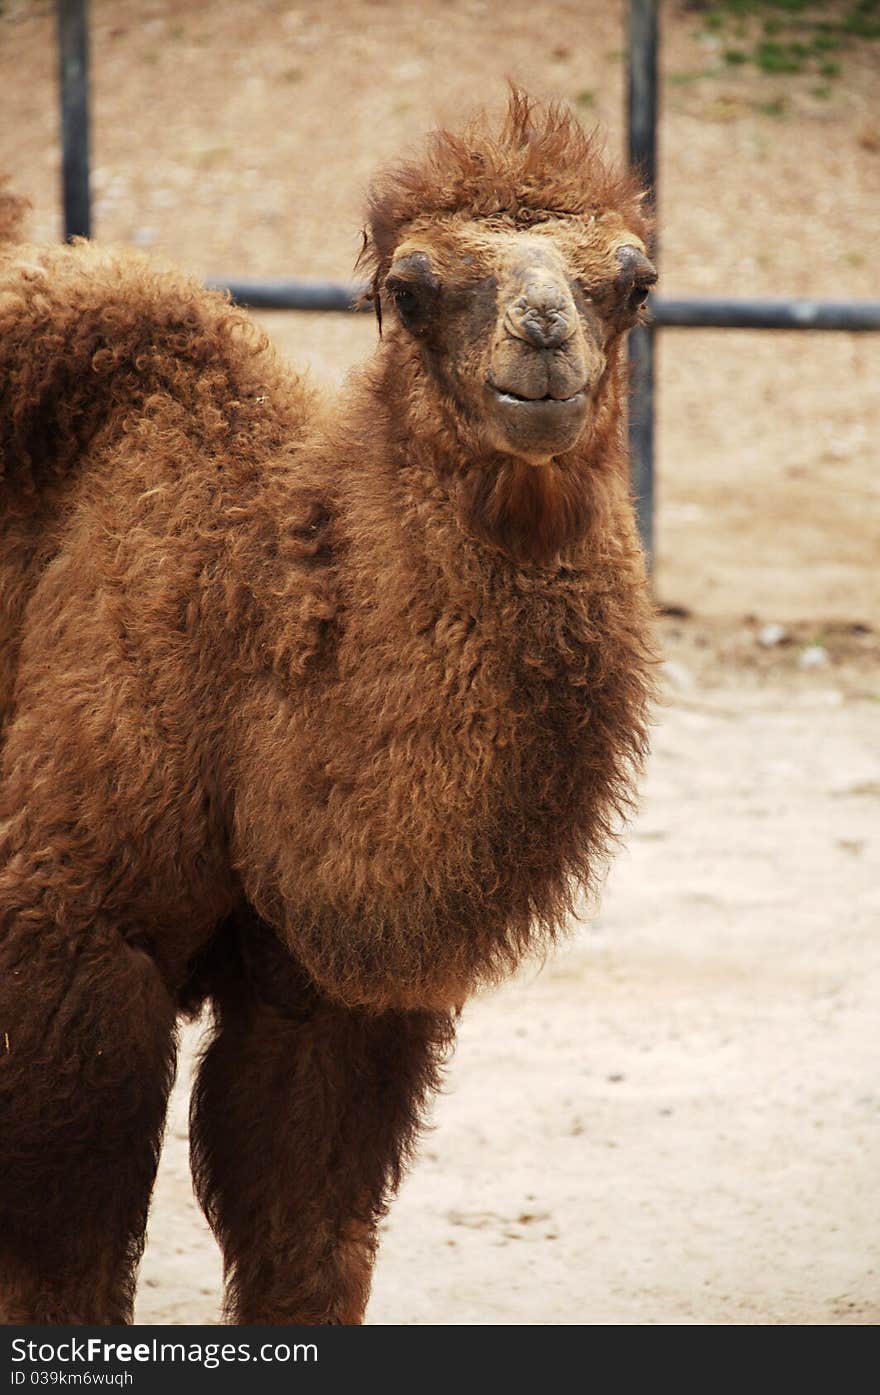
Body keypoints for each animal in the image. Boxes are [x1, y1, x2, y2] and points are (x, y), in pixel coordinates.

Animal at [0, 92, 658, 1322]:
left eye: (634, 282)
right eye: (413, 285)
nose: (544, 337)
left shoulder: (329, 992)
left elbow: (307, 1234)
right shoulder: (65, 932)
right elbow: (63, 1261)